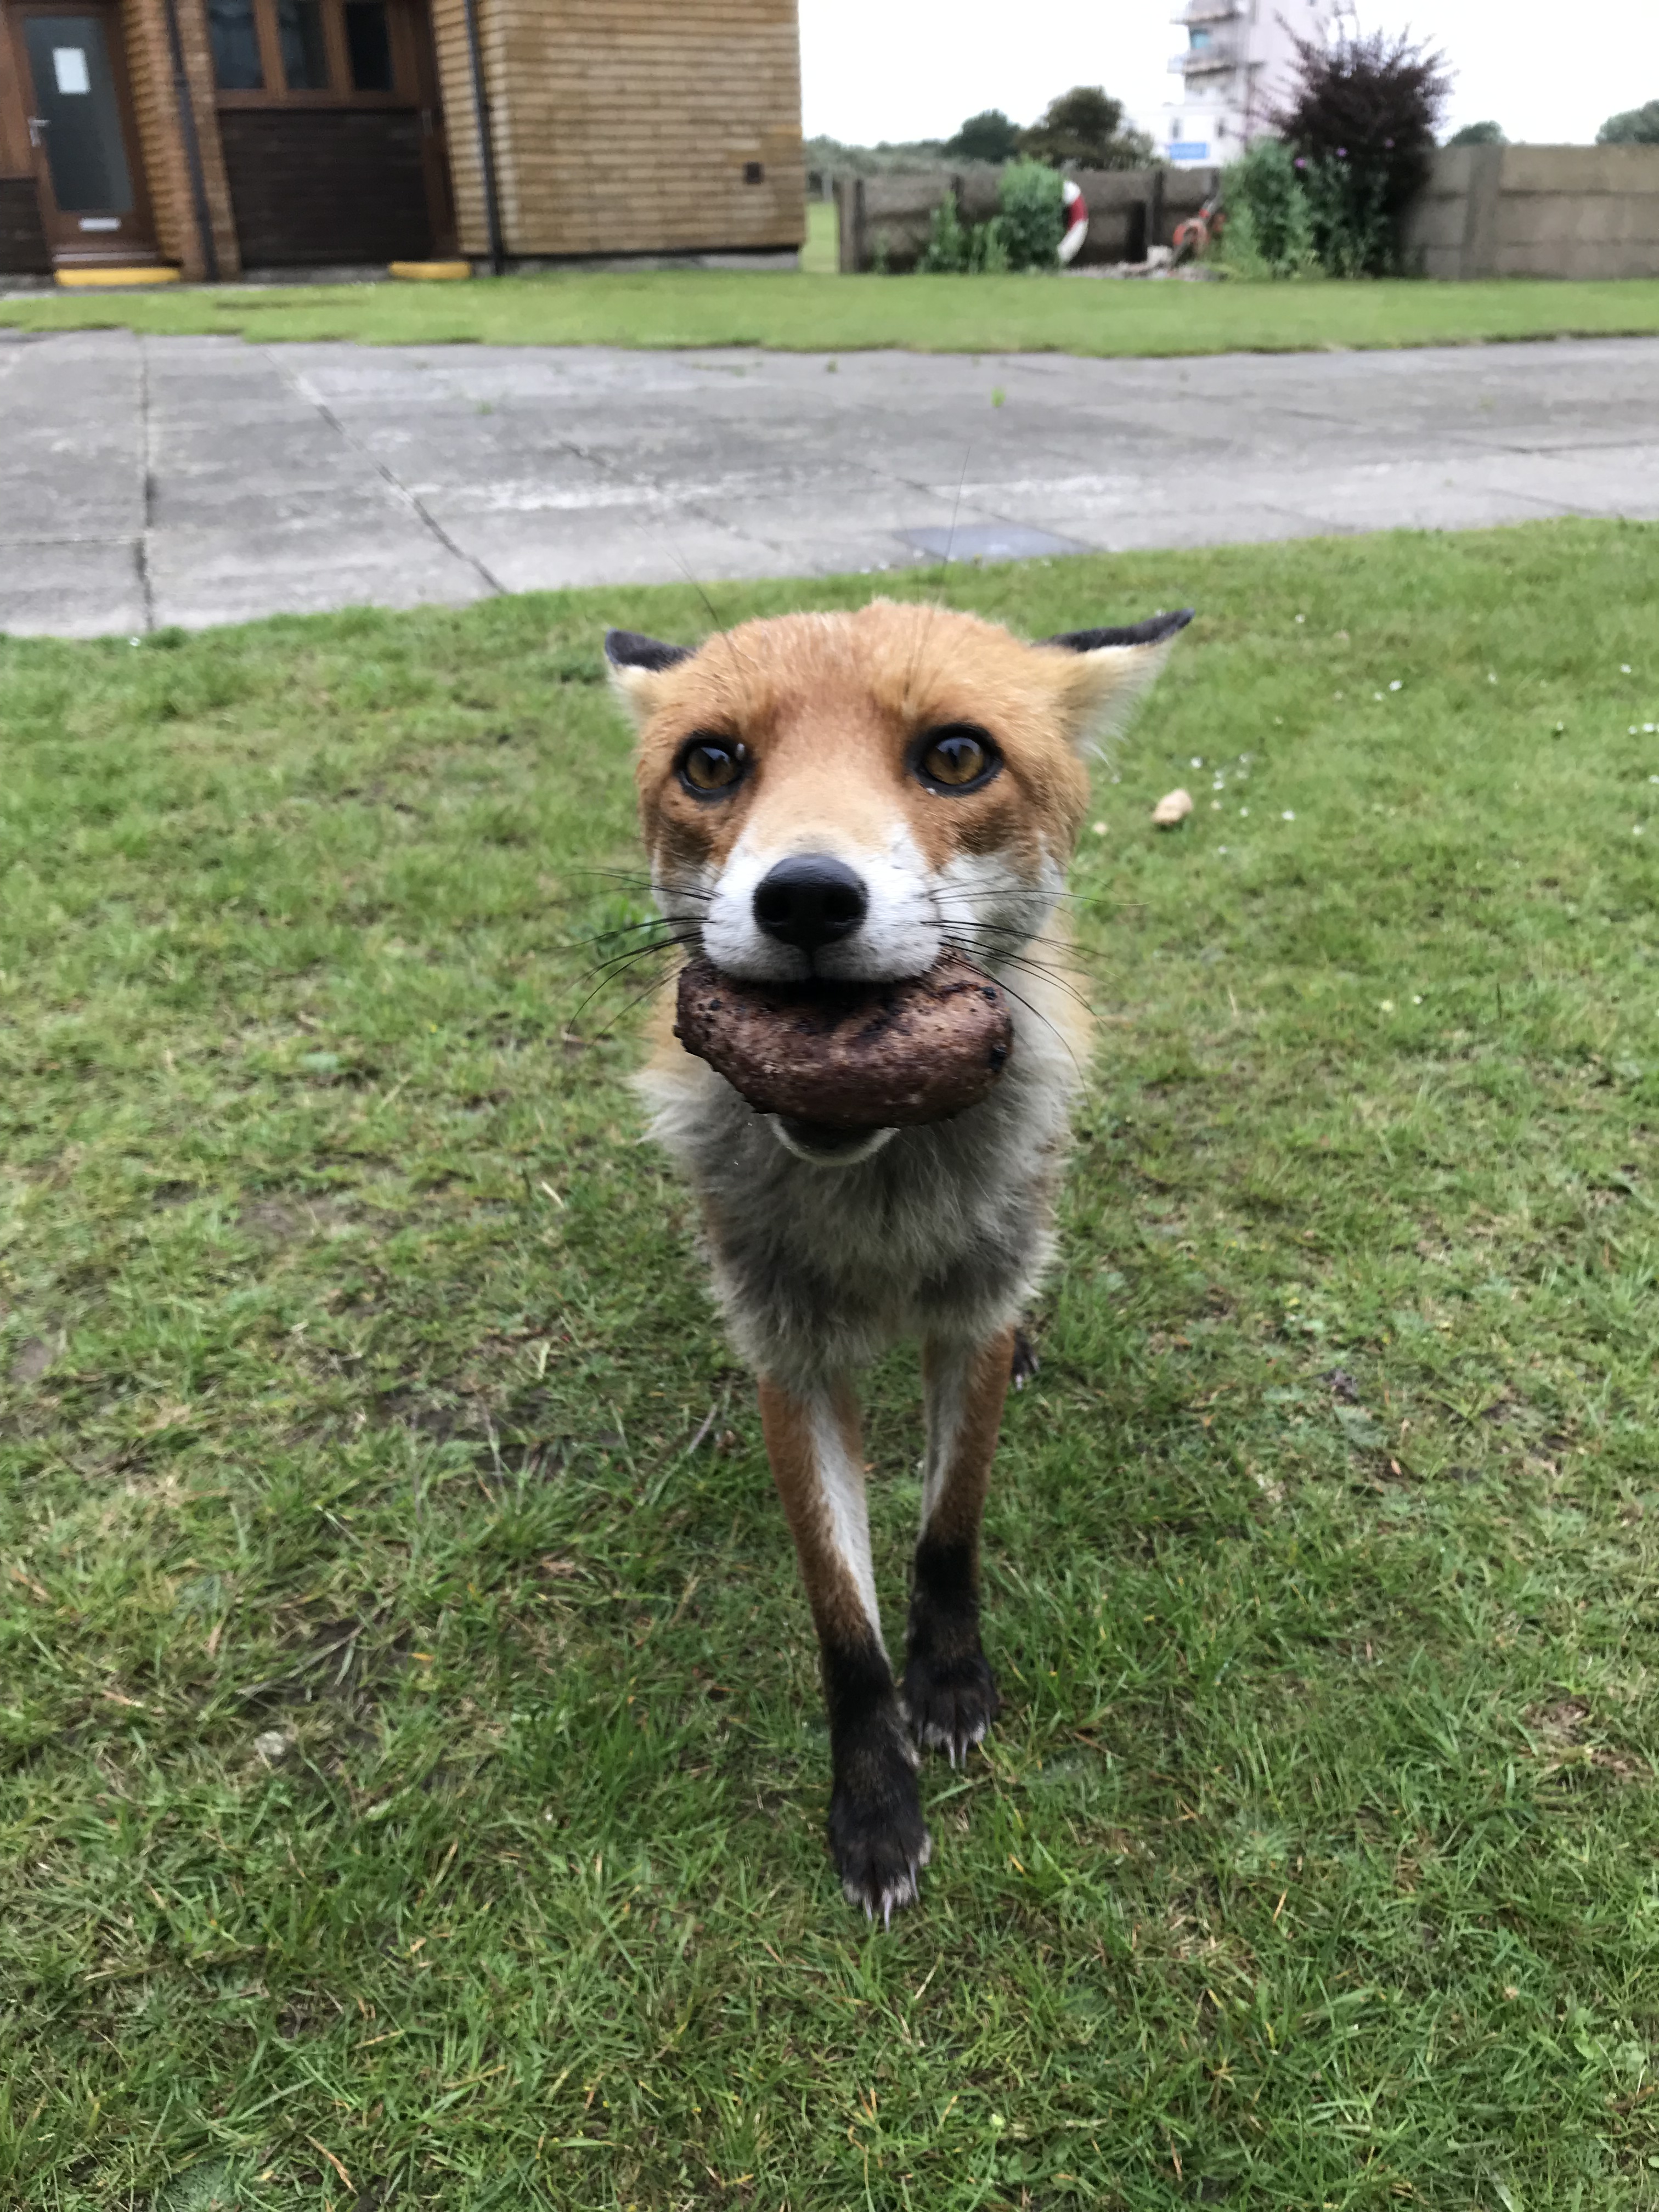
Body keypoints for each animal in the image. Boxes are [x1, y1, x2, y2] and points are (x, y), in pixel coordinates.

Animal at [605, 596, 1192, 1920]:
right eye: (711, 765)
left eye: (957, 756)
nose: (806, 899)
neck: (875, 1212)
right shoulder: (790, 1358)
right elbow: (842, 1619)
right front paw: (873, 1803)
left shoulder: (966, 1313)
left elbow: (947, 1529)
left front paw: (954, 1684)